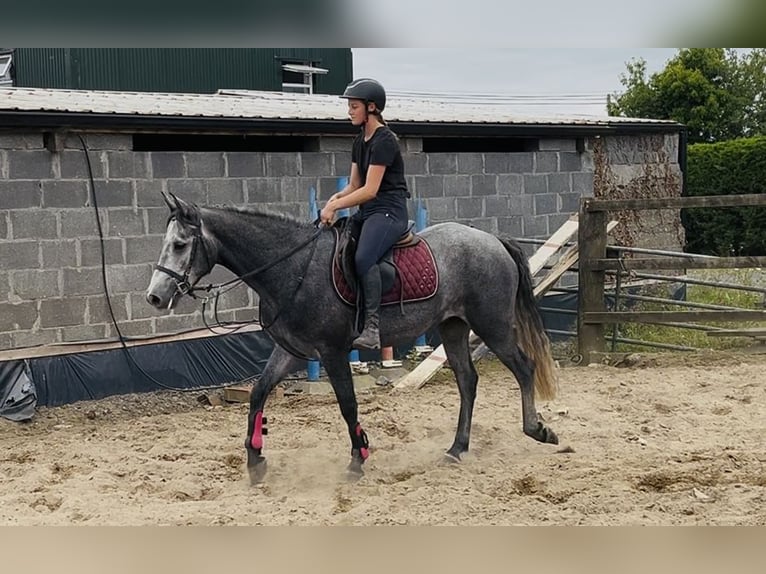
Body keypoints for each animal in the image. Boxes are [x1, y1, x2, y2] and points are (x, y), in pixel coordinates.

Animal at [145, 192, 559, 484]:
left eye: (180, 245)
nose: (155, 297)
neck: (293, 267)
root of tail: (492, 238)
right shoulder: (291, 350)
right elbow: (258, 394)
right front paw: (255, 459)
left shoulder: (331, 351)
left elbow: (348, 405)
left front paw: (358, 458)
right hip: (453, 327)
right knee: (467, 380)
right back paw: (457, 448)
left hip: (493, 325)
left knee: (524, 368)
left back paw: (537, 430)